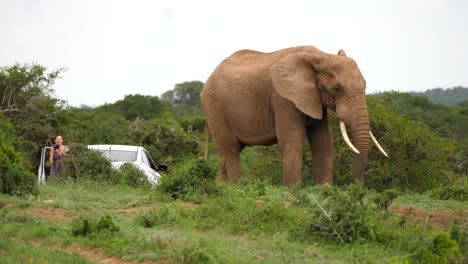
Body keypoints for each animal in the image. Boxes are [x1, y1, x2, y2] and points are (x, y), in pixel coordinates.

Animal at [201, 44, 388, 186]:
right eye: (337, 89)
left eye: (365, 86)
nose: (357, 189)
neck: (320, 56)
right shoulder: (283, 98)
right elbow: (293, 141)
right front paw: (291, 194)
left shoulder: (313, 99)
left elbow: (323, 142)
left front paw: (326, 192)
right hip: (214, 107)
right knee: (230, 149)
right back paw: (235, 189)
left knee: (230, 151)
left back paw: (218, 189)